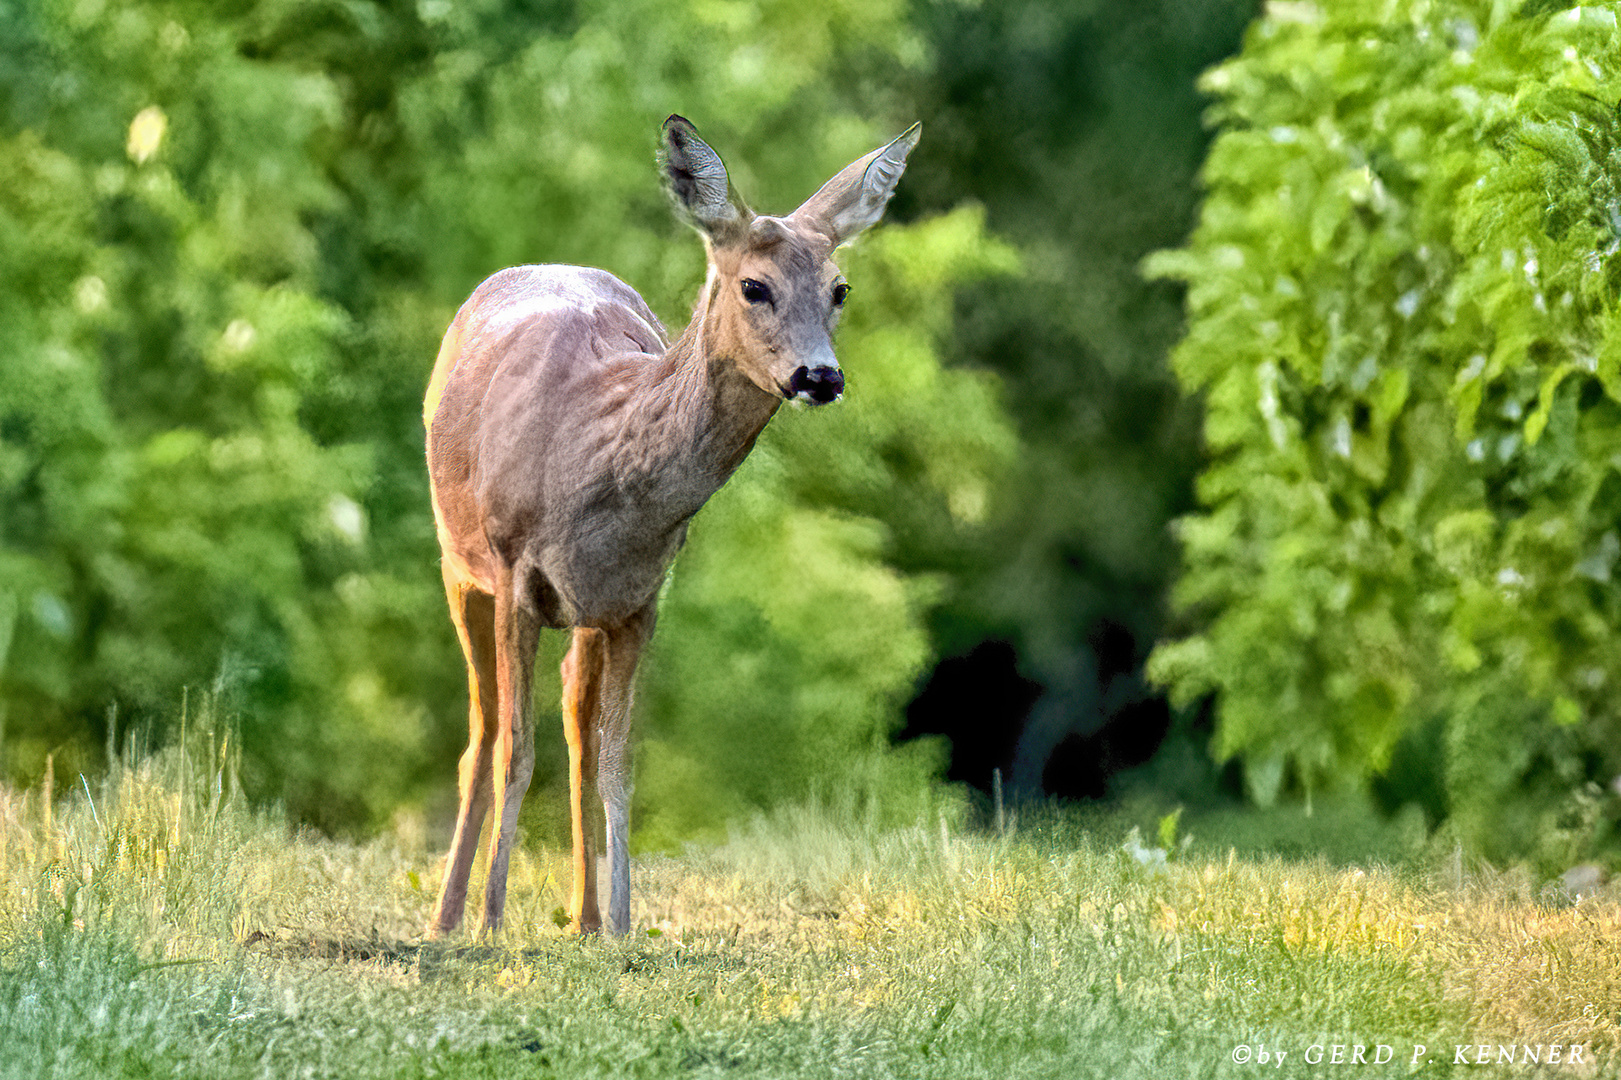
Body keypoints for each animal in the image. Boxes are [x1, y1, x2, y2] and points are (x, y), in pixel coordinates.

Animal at [424, 113, 920, 927]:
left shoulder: (640, 596)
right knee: (483, 729)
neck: (592, 451)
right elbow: (514, 752)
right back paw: (448, 914)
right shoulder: (515, 567)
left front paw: (623, 925)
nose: (820, 376)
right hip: (457, 560)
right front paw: (492, 922)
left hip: (583, 612)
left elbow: (618, 760)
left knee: (574, 720)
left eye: (840, 289)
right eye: (754, 286)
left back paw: (583, 915)